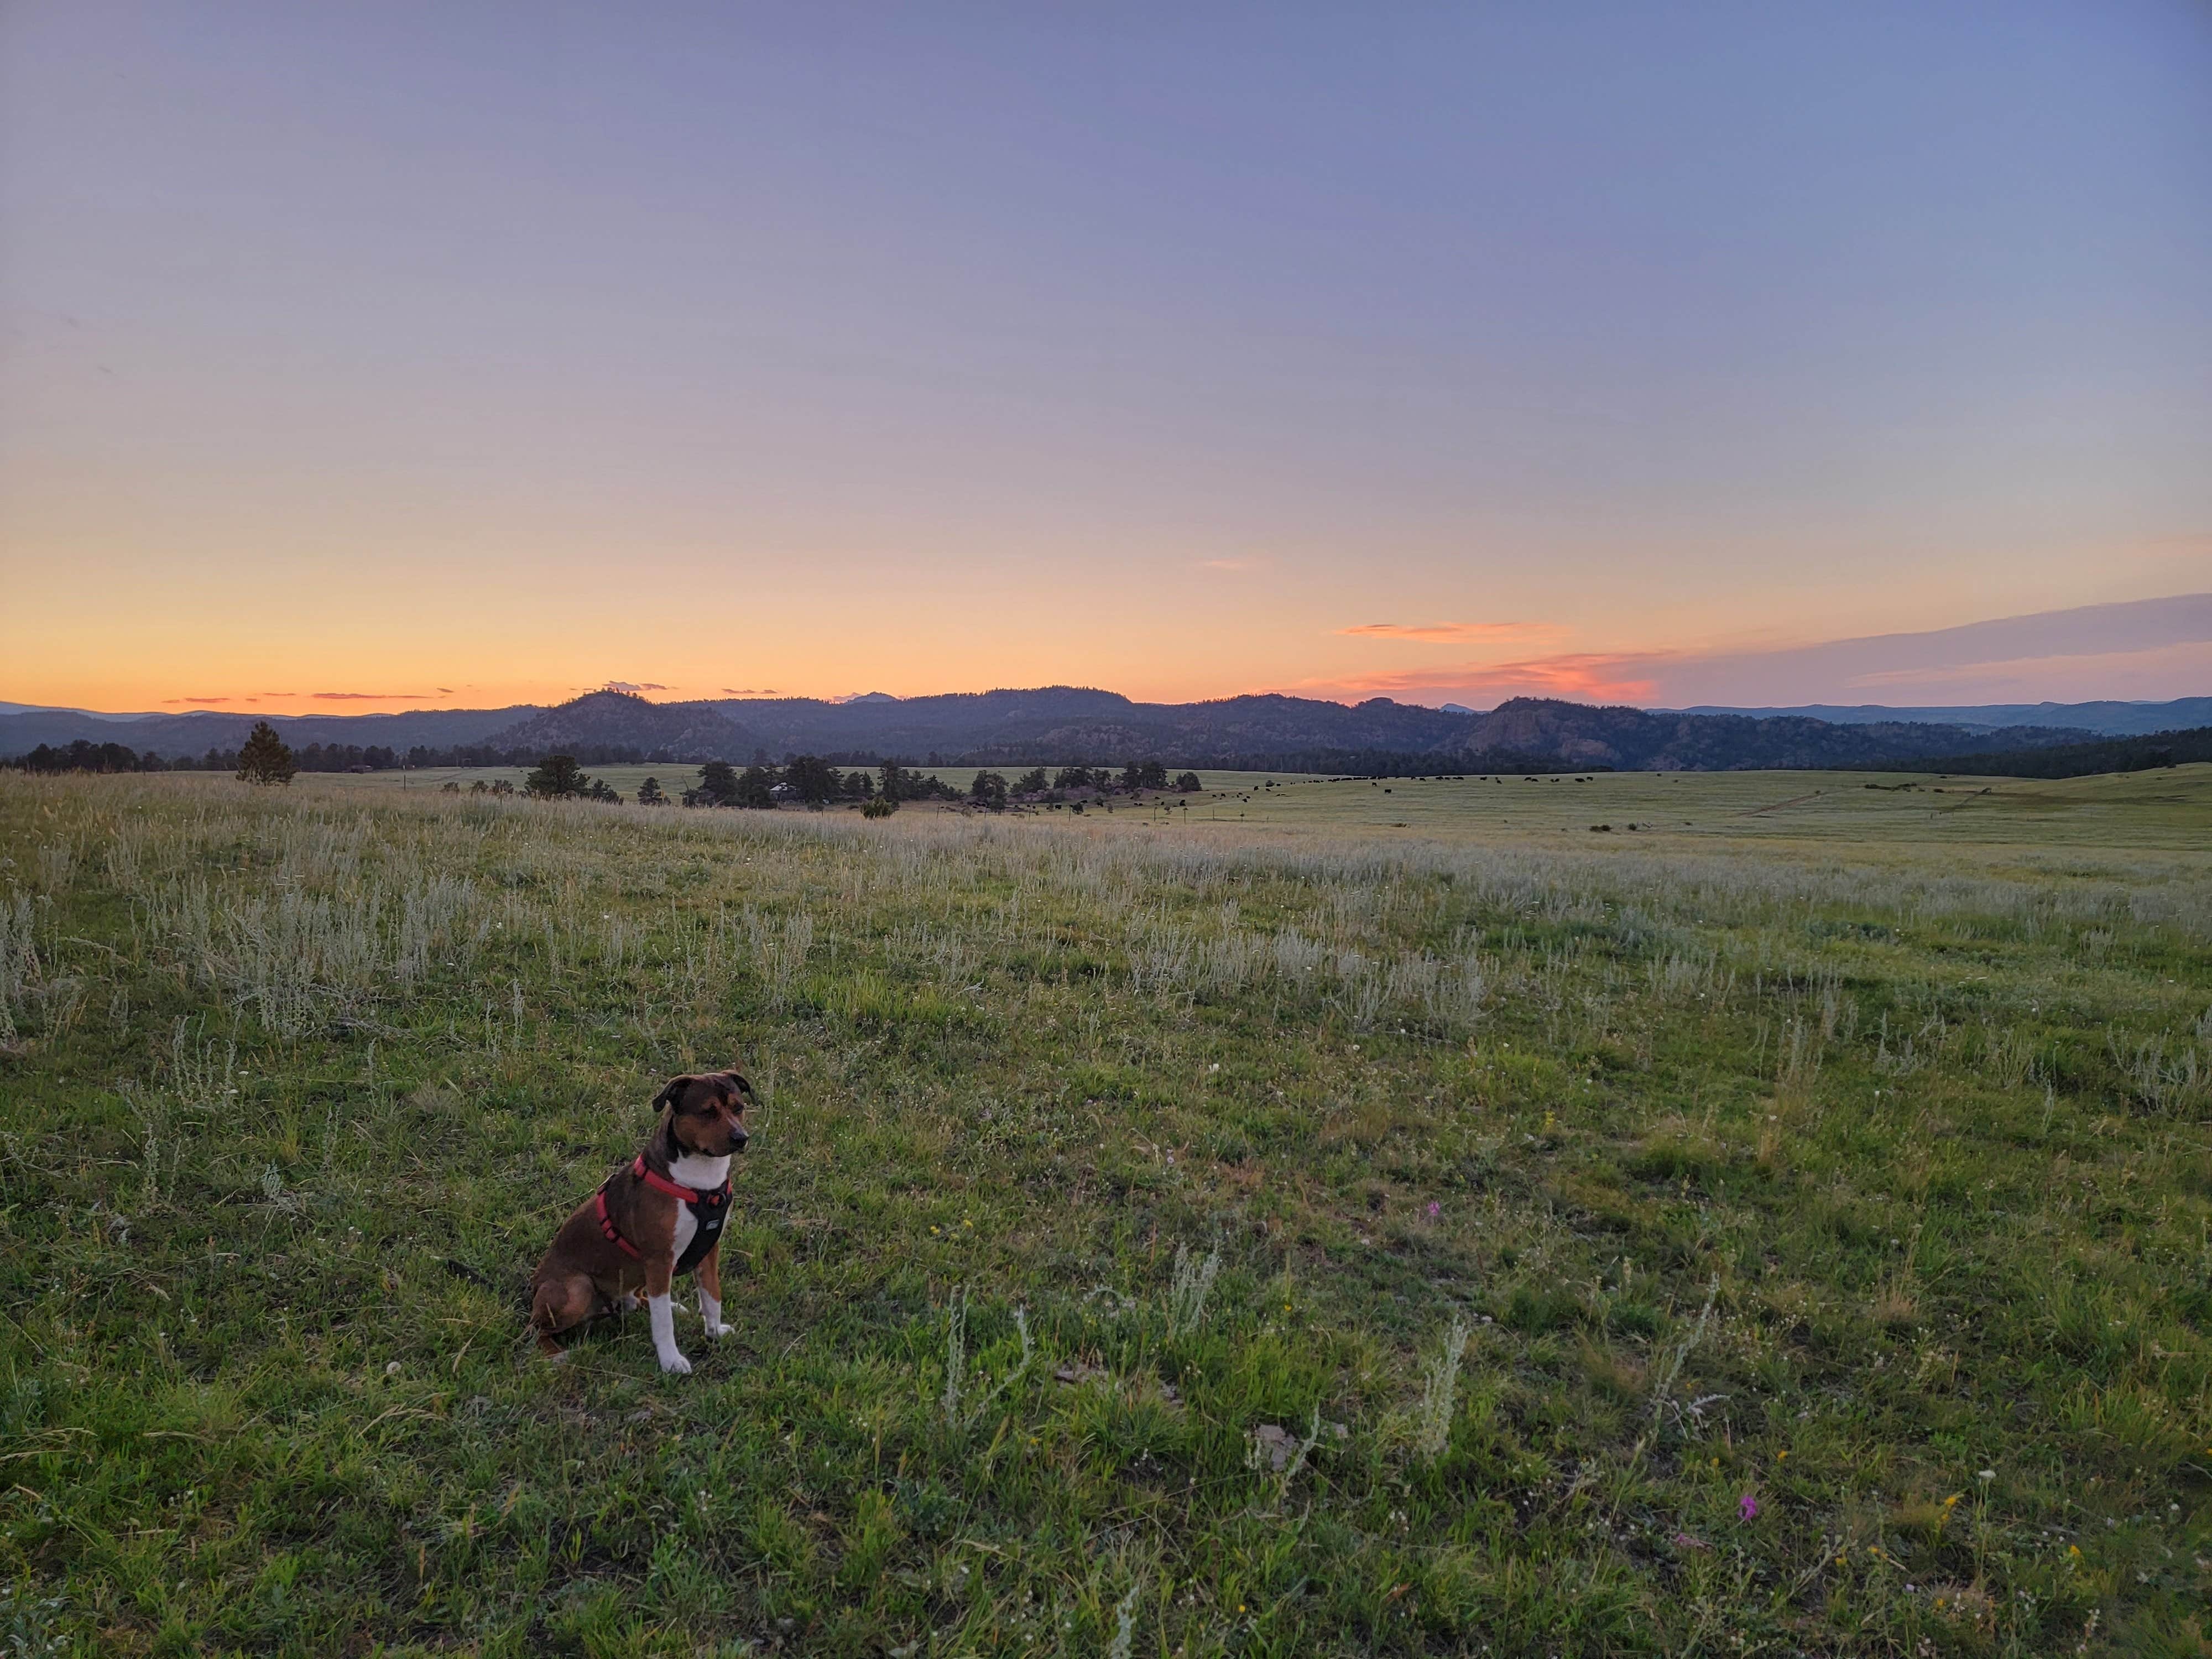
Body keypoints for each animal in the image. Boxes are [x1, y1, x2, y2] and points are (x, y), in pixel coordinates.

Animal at [531, 1079, 757, 1380]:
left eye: (738, 1107)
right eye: (708, 1111)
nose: (740, 1138)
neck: (701, 1182)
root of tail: (533, 1285)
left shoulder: (709, 1251)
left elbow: (712, 1297)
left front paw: (715, 1332)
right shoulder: (660, 1258)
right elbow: (663, 1324)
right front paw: (671, 1360)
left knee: (639, 1298)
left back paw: (666, 1305)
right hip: (577, 1289)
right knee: (534, 1329)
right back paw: (556, 1355)